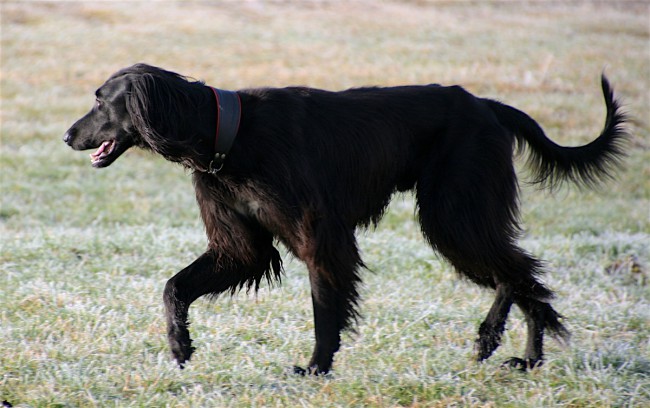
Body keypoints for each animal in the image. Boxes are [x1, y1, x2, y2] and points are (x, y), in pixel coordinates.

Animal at [63, 63, 624, 372]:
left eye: (100, 100)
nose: (68, 135)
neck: (232, 134)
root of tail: (485, 104)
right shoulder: (240, 248)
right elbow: (174, 287)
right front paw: (180, 345)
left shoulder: (322, 240)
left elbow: (324, 310)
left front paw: (316, 368)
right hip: (457, 216)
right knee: (520, 276)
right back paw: (519, 355)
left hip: (454, 213)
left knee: (518, 271)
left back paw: (509, 345)